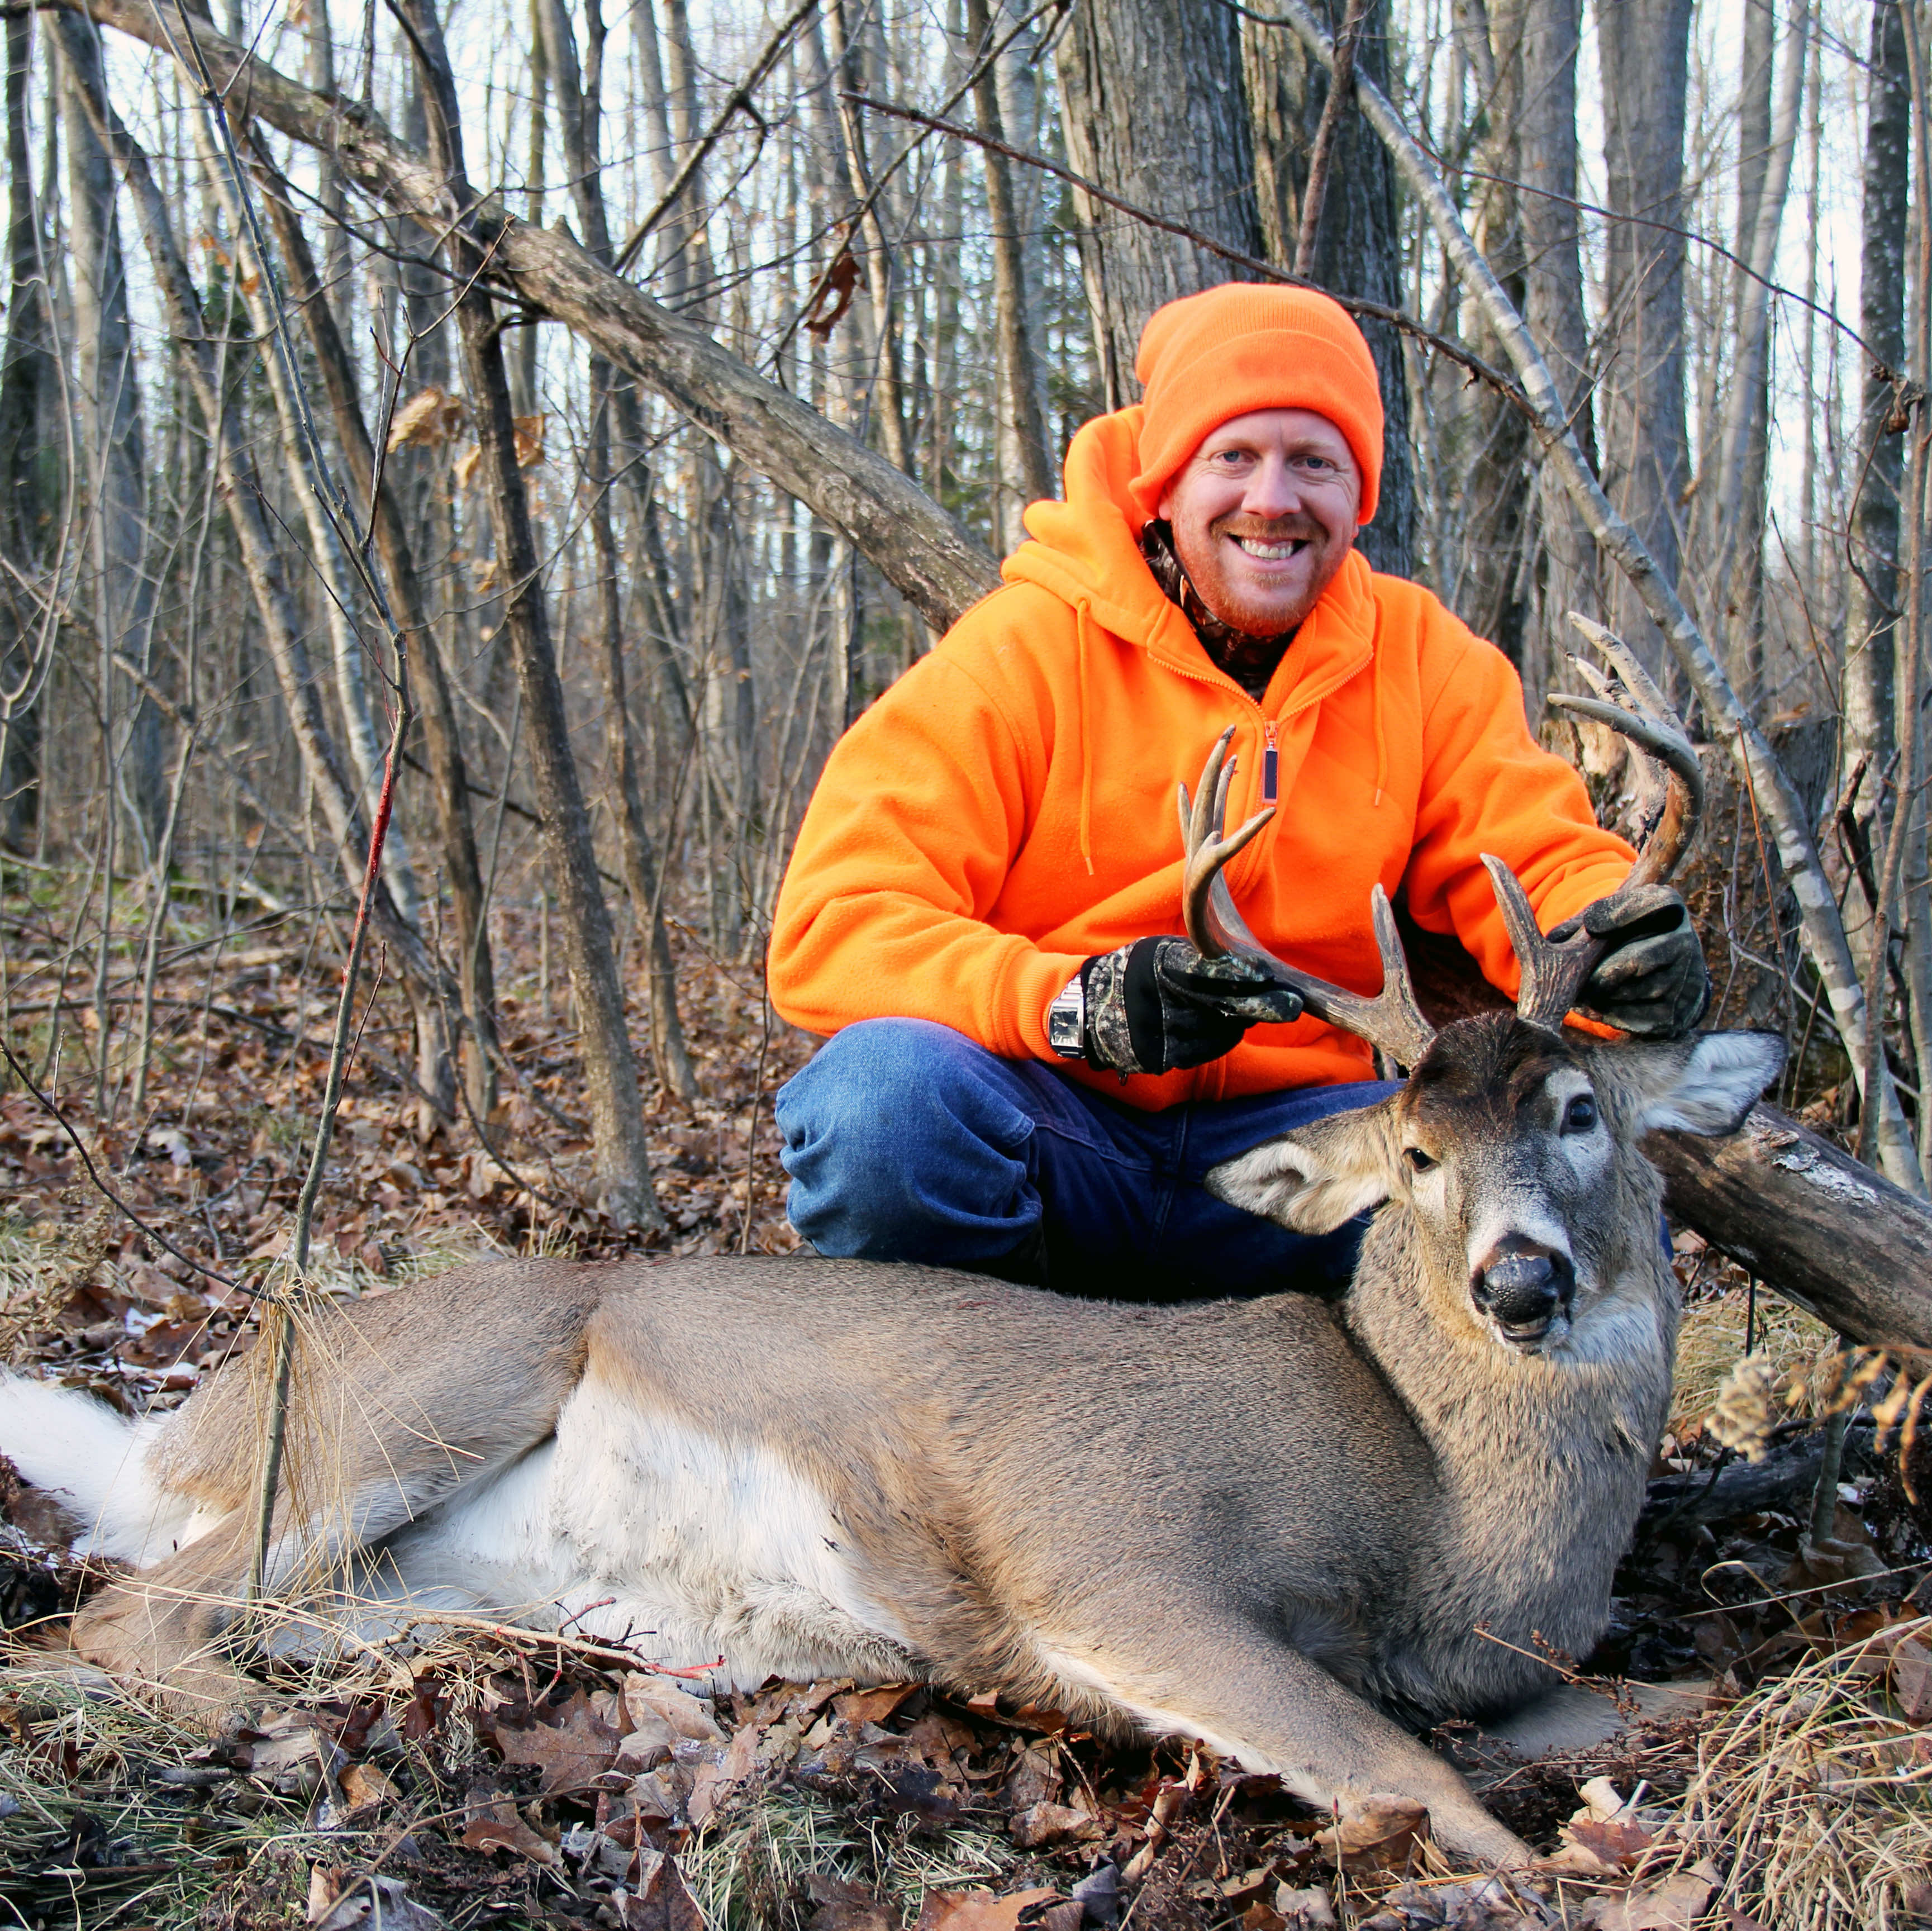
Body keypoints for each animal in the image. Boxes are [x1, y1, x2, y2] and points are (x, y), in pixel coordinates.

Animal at [0, 636, 1780, 1868]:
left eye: (1579, 1111)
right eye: (1414, 1158)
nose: (1521, 1282)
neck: (1440, 1509)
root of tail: (193, 1419)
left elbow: (1638, 1705)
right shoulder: (1111, 1552)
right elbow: (1431, 1787)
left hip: (413, 1562)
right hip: (416, 1398)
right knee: (114, 1617)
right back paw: (280, 1742)